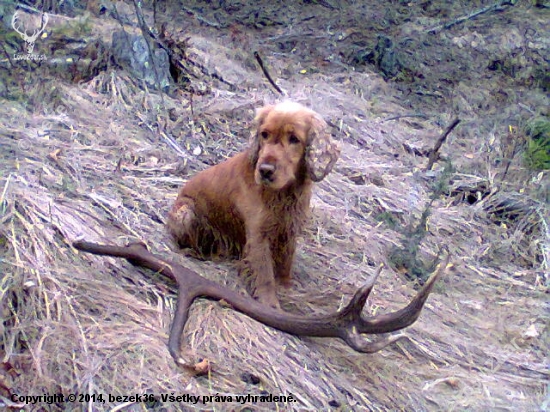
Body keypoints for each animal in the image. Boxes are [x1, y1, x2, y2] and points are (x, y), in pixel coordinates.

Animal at [168, 102, 340, 308]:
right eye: (264, 134)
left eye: (294, 139)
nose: (265, 170)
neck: (283, 193)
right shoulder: (258, 234)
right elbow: (264, 272)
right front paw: (269, 303)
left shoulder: (289, 229)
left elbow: (285, 261)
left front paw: (285, 287)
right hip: (185, 212)